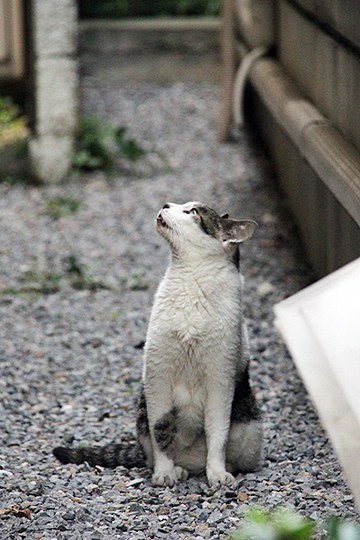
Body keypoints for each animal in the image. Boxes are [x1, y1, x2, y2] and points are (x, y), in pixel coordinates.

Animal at [52, 200, 262, 488]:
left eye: (192, 212)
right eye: (181, 204)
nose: (166, 204)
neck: (191, 282)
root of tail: (194, 461)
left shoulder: (220, 382)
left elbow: (217, 436)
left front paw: (218, 474)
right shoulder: (157, 378)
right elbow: (161, 432)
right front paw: (165, 472)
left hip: (250, 424)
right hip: (142, 410)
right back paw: (179, 470)